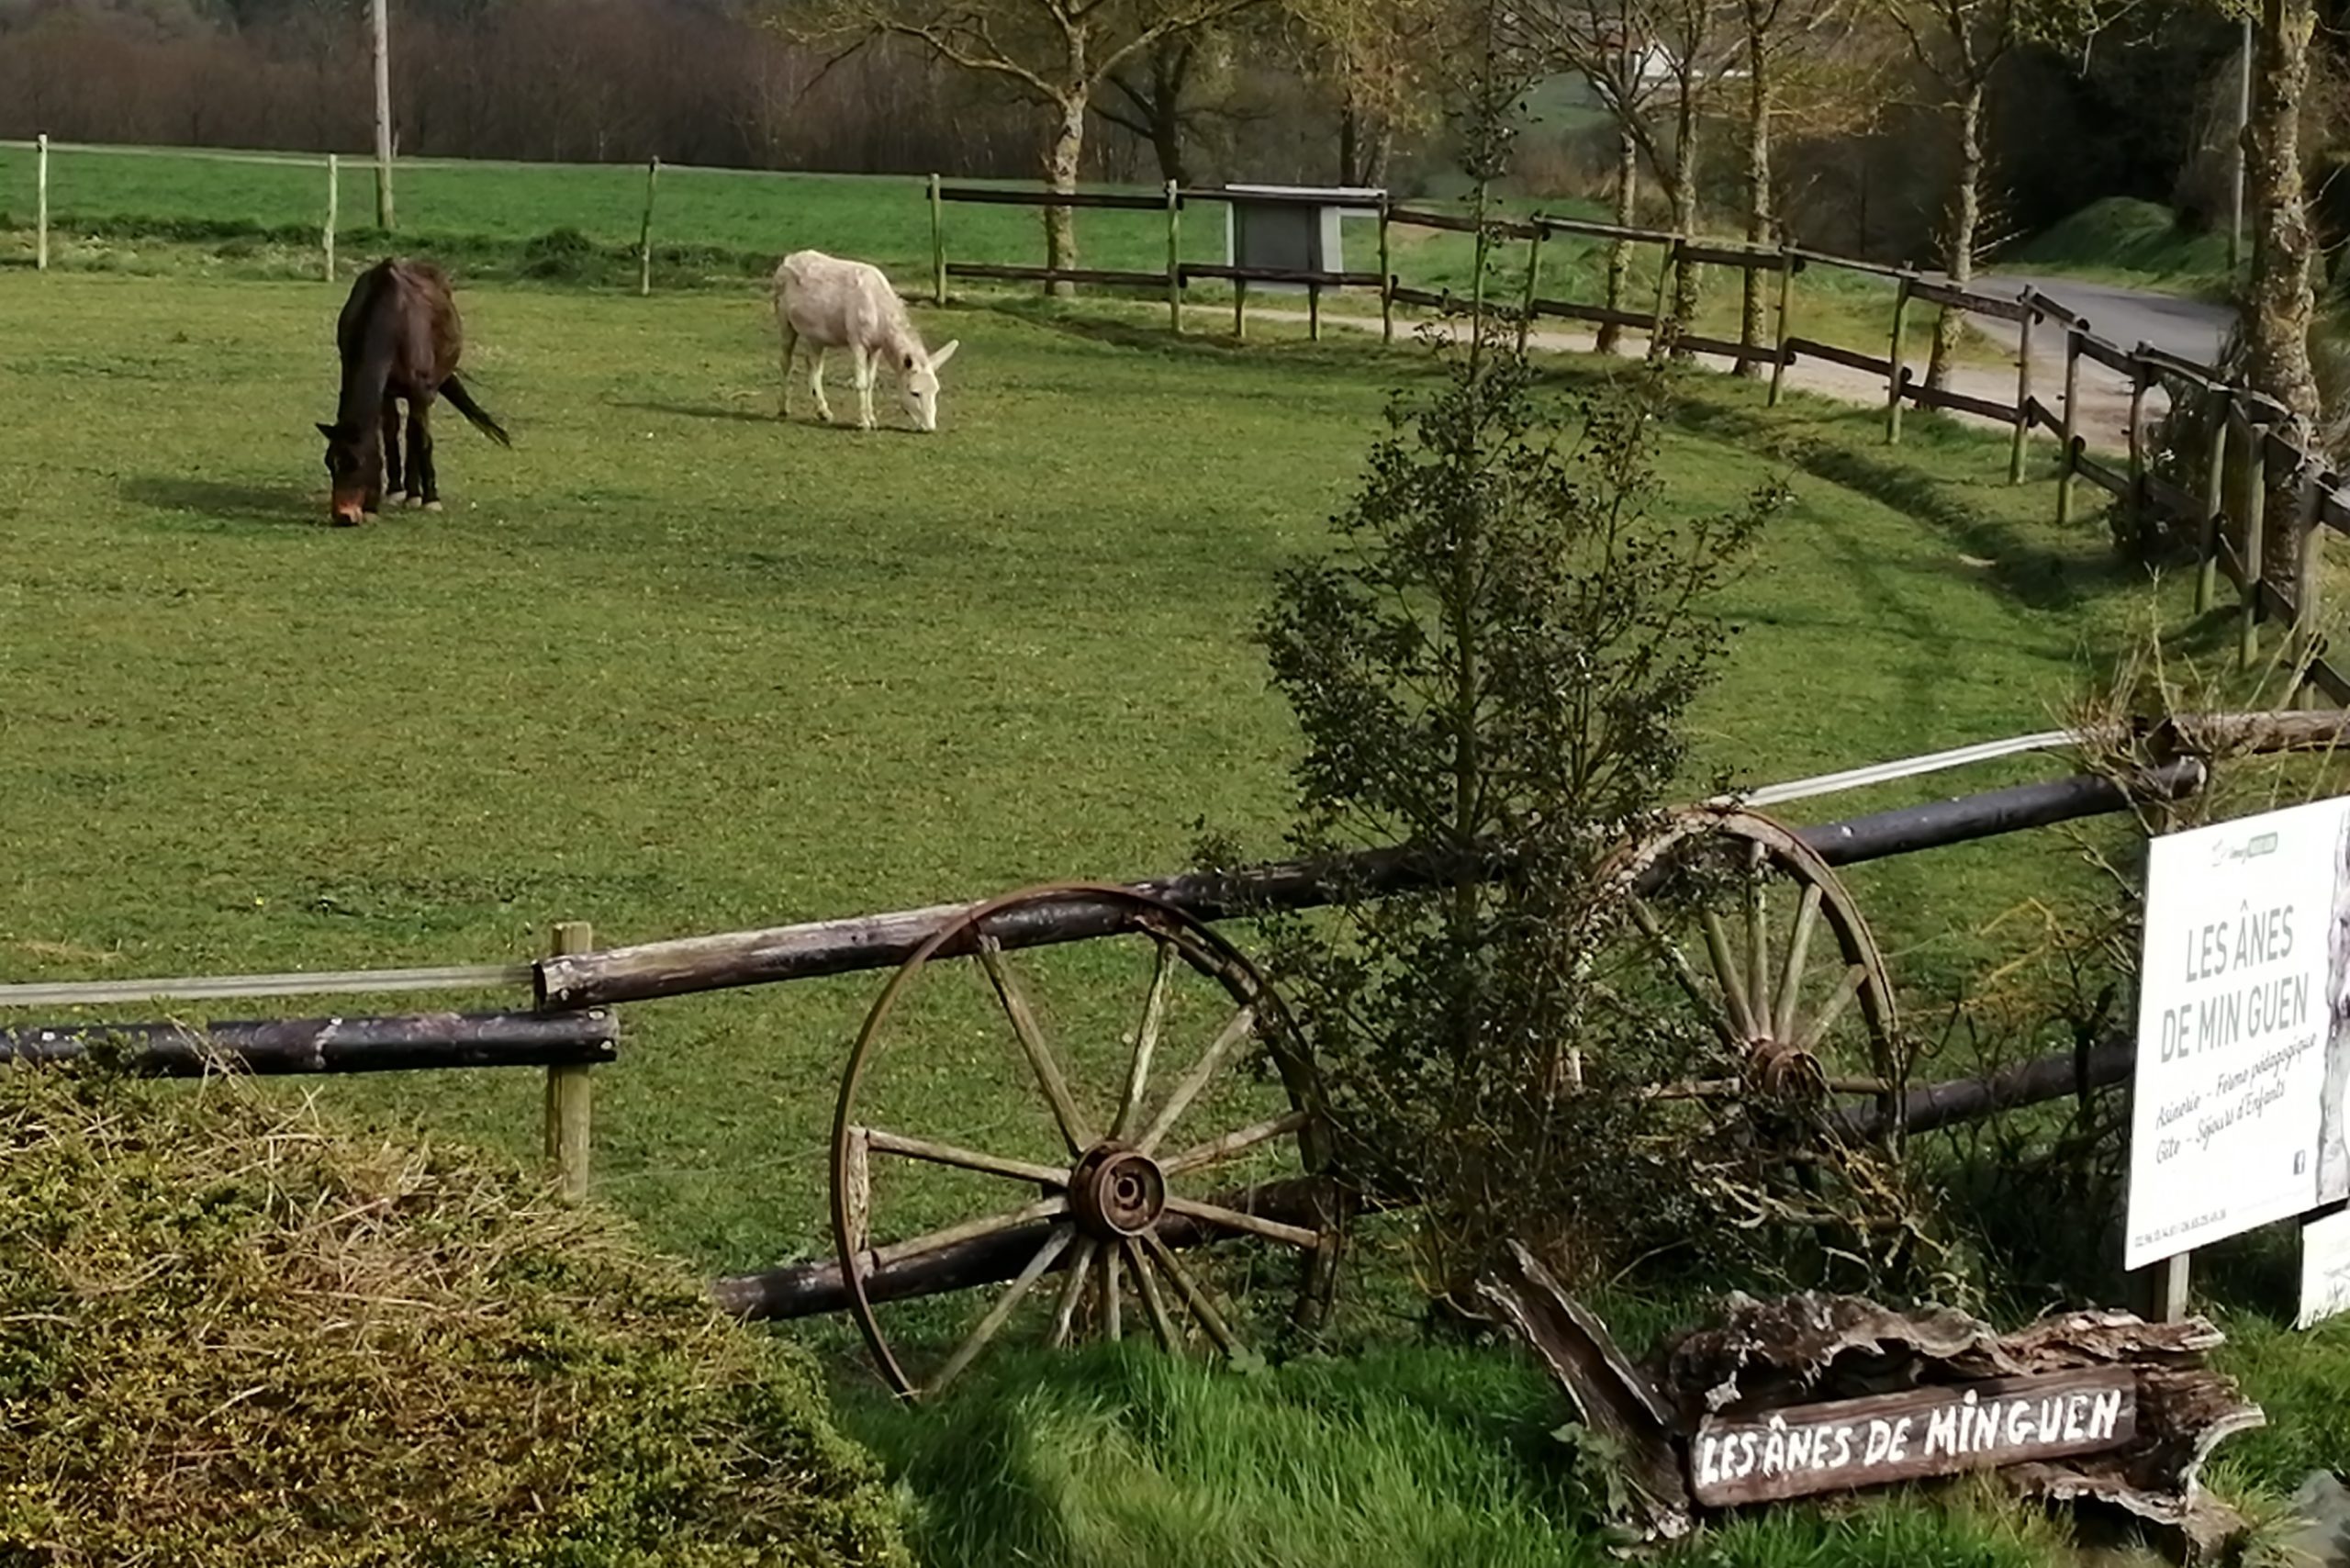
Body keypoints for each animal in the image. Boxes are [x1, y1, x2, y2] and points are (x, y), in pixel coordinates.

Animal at [318, 259, 511, 524]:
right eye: (330, 463)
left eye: (357, 462)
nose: (344, 515)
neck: (394, 320)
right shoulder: (385, 392)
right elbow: (389, 434)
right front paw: (389, 494)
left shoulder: (422, 393)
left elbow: (421, 440)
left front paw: (430, 498)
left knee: (414, 433)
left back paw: (415, 493)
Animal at [772, 250, 961, 433]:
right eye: (915, 392)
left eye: (936, 391)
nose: (930, 428)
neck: (879, 315)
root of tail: (787, 259)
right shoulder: (857, 341)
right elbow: (861, 383)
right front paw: (864, 423)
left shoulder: (876, 348)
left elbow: (870, 383)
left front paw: (872, 419)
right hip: (784, 320)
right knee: (786, 362)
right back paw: (783, 408)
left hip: (817, 335)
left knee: (813, 365)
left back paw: (823, 412)